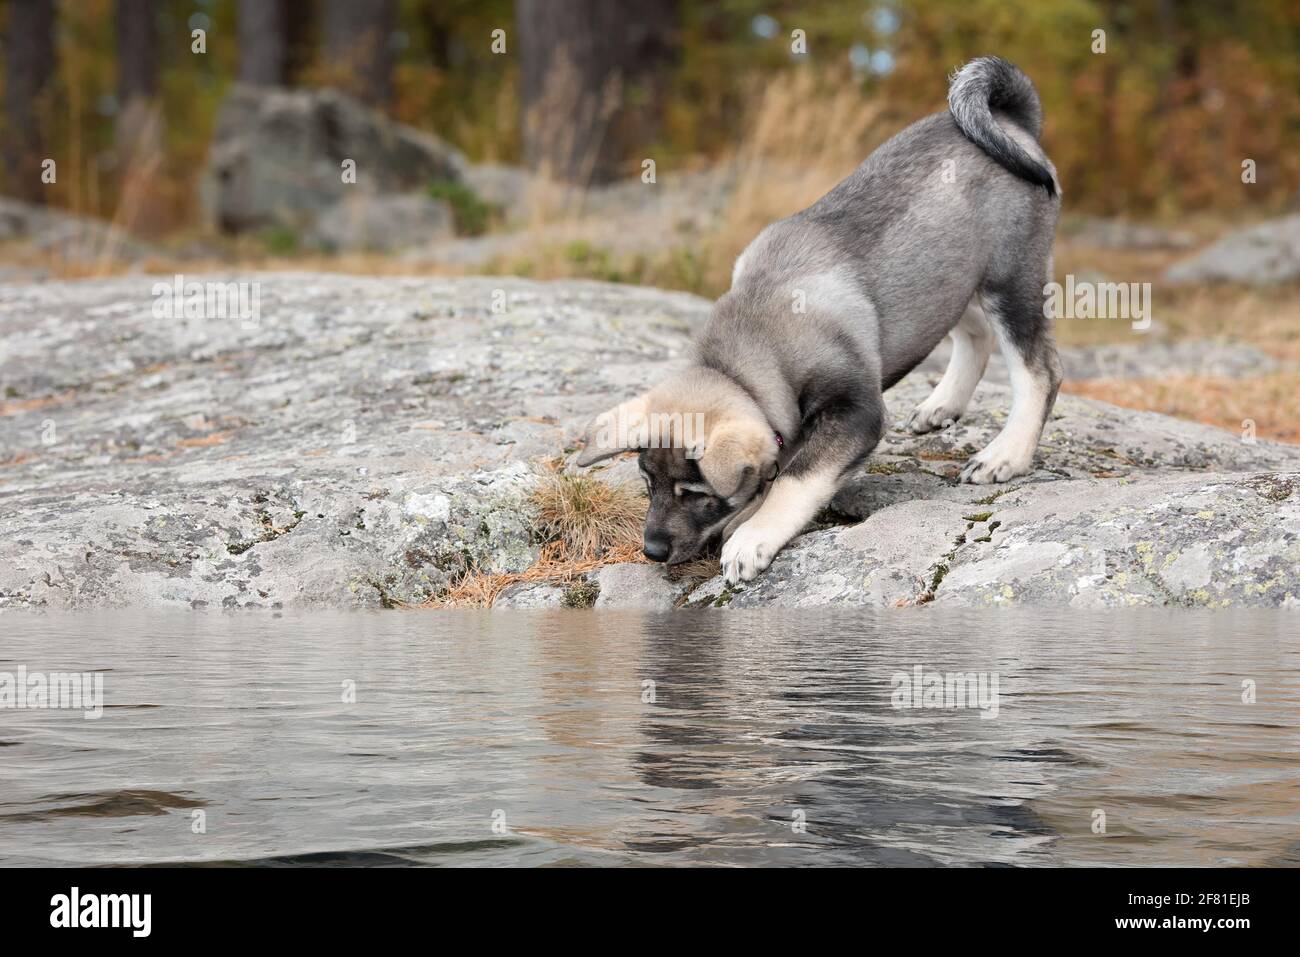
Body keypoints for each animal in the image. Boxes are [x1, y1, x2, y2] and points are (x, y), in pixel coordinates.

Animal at [577, 59, 1055, 587]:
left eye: (697, 494)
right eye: (647, 483)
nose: (653, 550)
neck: (750, 354)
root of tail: (1013, 121)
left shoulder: (855, 411)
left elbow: (796, 477)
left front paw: (752, 533)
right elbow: (780, 465)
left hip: (1009, 281)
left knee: (1038, 373)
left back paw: (1005, 455)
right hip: (950, 281)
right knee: (975, 334)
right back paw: (941, 405)